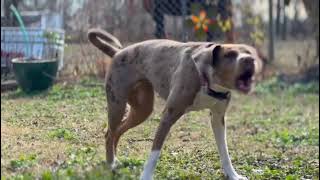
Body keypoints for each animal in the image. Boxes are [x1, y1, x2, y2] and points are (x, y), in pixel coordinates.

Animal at [87, 28, 262, 180]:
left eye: (250, 53)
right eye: (229, 55)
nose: (249, 60)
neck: (207, 77)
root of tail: (118, 52)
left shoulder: (218, 119)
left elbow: (224, 151)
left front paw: (233, 175)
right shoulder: (168, 116)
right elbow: (154, 153)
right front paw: (146, 176)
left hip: (142, 110)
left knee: (117, 132)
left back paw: (115, 161)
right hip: (117, 105)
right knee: (110, 134)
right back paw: (110, 163)